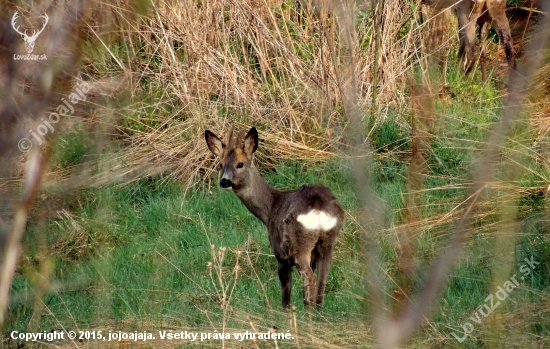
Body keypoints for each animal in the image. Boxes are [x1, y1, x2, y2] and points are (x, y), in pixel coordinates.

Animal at [207, 124, 344, 308]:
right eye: (221, 165)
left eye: (240, 164)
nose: (224, 181)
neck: (270, 207)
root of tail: (318, 205)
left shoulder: (280, 255)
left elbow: (285, 296)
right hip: (327, 243)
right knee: (321, 284)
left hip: (300, 243)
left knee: (309, 278)